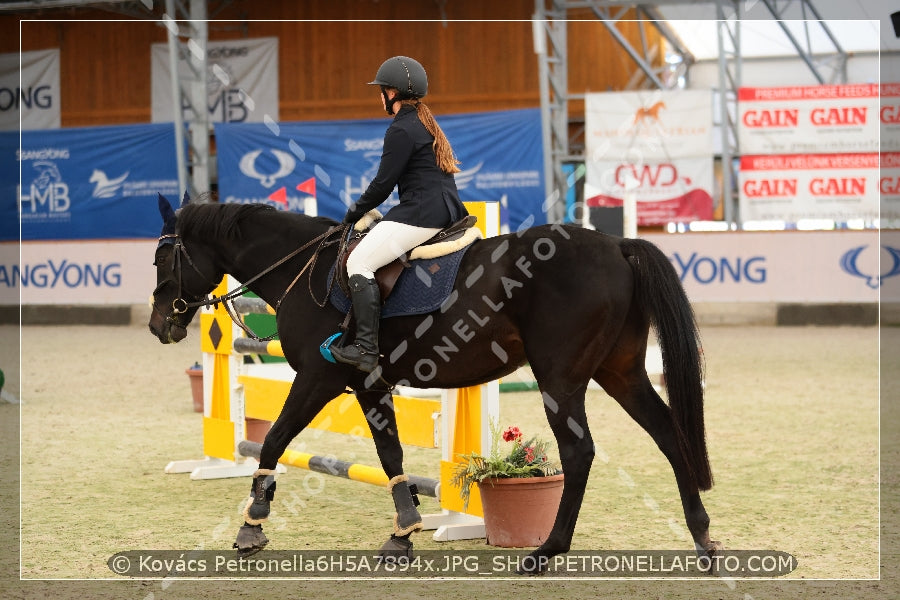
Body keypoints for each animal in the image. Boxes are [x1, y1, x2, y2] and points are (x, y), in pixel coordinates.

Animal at [149, 195, 724, 576]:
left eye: (161, 259)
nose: (160, 325)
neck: (305, 268)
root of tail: (618, 244)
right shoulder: (369, 385)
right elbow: (390, 454)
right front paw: (404, 530)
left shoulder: (316, 378)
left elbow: (274, 437)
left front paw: (253, 523)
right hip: (619, 372)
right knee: (668, 433)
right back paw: (701, 537)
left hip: (560, 378)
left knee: (579, 452)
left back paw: (547, 551)